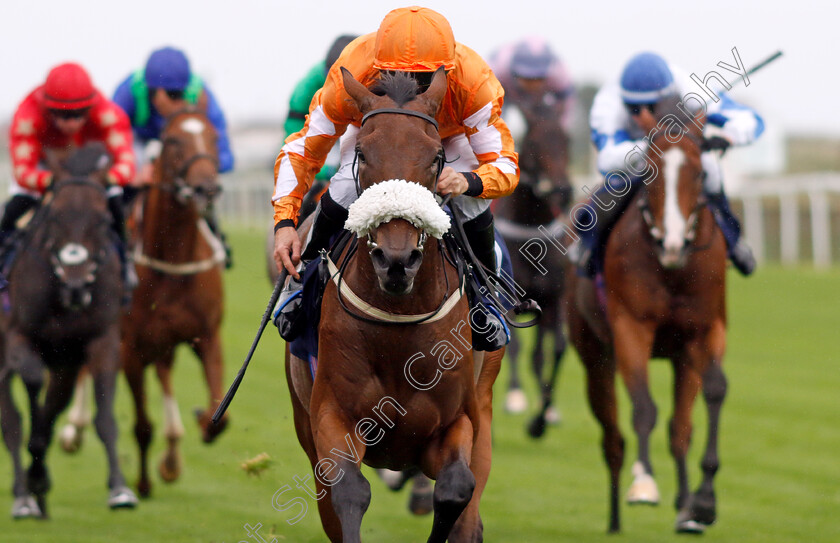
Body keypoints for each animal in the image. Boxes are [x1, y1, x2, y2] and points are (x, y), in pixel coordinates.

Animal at [0, 144, 138, 520]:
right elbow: (32, 387)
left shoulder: (101, 342)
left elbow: (103, 418)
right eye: (55, 218)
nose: (77, 285)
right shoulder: (18, 336)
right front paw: (31, 482)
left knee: (53, 403)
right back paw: (23, 495)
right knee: (12, 421)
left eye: (103, 219)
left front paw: (119, 489)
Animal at [121, 108, 226, 500]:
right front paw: (142, 484)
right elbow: (141, 426)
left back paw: (171, 457)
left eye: (214, 137)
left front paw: (203, 420)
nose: (206, 188)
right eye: (172, 140)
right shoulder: (130, 349)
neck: (173, 260)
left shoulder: (207, 337)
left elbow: (219, 415)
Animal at [286, 68, 502, 543]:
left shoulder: (458, 421)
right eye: (363, 153)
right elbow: (349, 491)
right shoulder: (332, 417)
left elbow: (456, 489)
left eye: (436, 157)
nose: (397, 260)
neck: (400, 325)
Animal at [564, 111, 728, 536]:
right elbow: (643, 409)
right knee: (612, 439)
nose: (673, 245)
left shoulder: (705, 331)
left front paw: (703, 503)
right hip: (594, 358)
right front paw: (645, 484)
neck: (672, 271)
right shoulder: (630, 329)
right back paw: (615, 519)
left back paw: (686, 507)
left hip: (681, 358)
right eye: (648, 173)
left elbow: (715, 391)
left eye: (699, 173)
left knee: (680, 430)